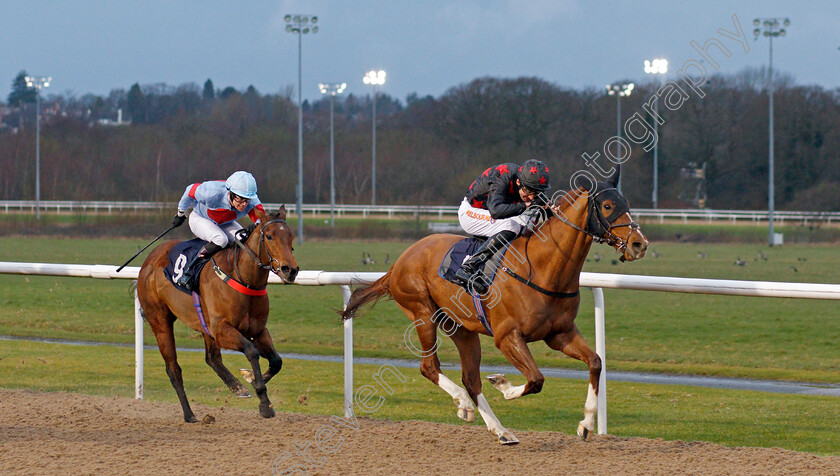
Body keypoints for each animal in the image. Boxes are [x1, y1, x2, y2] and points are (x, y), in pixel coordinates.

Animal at [135, 206, 298, 422]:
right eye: (269, 236)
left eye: (291, 236)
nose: (290, 270)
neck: (243, 279)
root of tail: (149, 260)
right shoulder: (221, 330)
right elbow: (251, 351)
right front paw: (263, 402)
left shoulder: (258, 330)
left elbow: (276, 361)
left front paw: (251, 380)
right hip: (160, 320)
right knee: (173, 368)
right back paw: (189, 414)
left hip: (204, 325)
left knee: (212, 358)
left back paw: (237, 387)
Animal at [342, 167, 648, 442]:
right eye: (607, 205)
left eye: (627, 204)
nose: (639, 244)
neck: (543, 267)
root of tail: (399, 261)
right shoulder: (507, 336)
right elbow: (536, 379)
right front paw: (502, 384)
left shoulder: (559, 334)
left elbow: (595, 362)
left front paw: (586, 424)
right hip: (422, 311)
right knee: (429, 367)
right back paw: (465, 405)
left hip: (461, 328)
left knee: (470, 379)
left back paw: (499, 430)